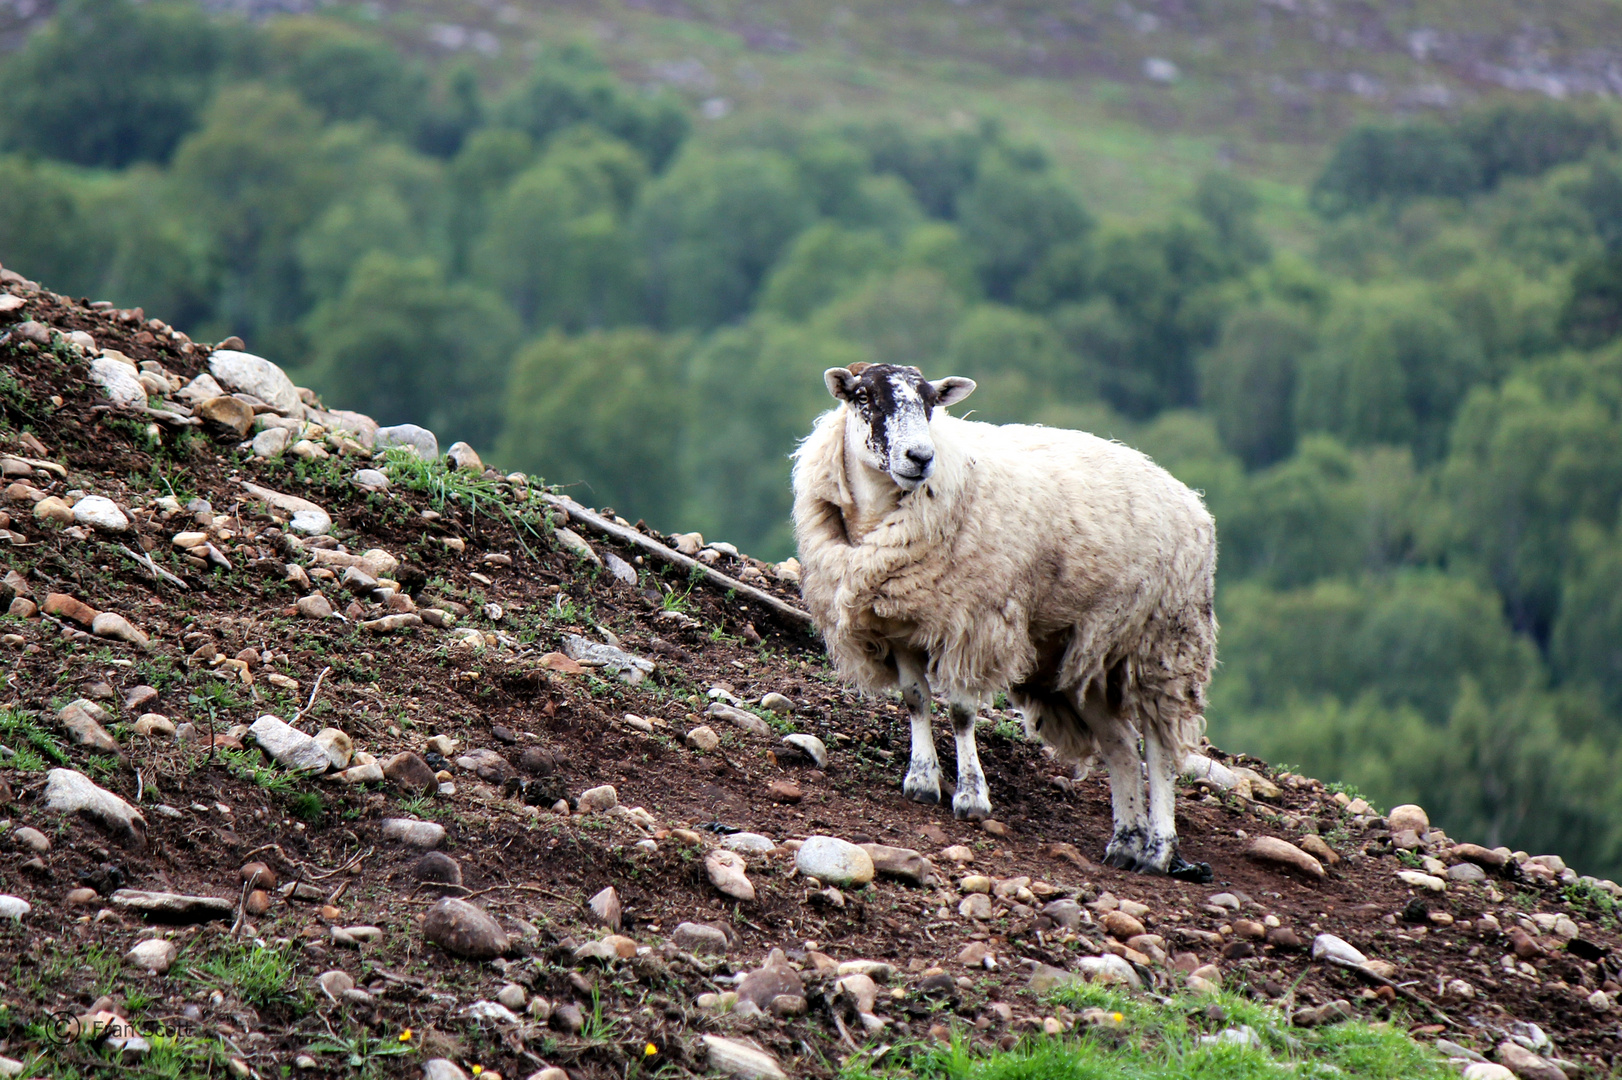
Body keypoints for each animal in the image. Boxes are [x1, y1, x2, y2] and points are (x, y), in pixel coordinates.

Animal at [785, 361, 1219, 875]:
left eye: (930, 403)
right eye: (865, 397)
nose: (920, 457)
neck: (881, 517)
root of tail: (1191, 499)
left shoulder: (972, 622)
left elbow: (960, 710)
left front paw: (972, 797)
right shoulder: (901, 627)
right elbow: (915, 700)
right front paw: (921, 780)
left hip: (1164, 642)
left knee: (1159, 748)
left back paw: (1158, 850)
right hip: (1086, 655)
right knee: (1121, 746)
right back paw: (1124, 845)